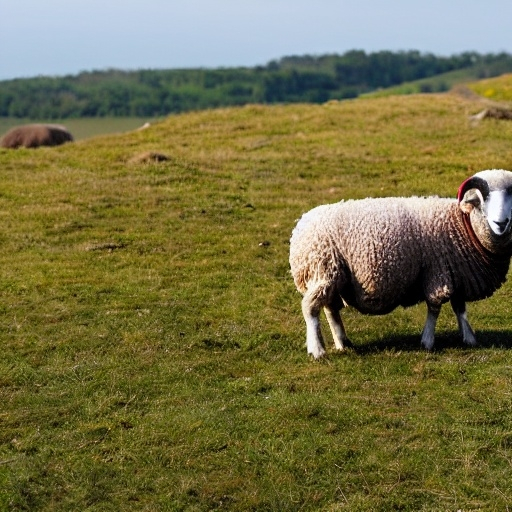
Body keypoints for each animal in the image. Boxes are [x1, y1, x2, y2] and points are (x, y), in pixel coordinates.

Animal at [290, 170, 512, 358]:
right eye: (484, 200)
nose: (501, 223)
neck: (462, 223)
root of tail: (301, 226)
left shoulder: (456, 273)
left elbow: (460, 308)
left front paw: (469, 338)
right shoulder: (438, 272)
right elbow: (435, 306)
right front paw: (427, 341)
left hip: (335, 277)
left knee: (330, 309)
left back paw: (343, 342)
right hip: (323, 270)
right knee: (310, 308)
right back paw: (317, 350)